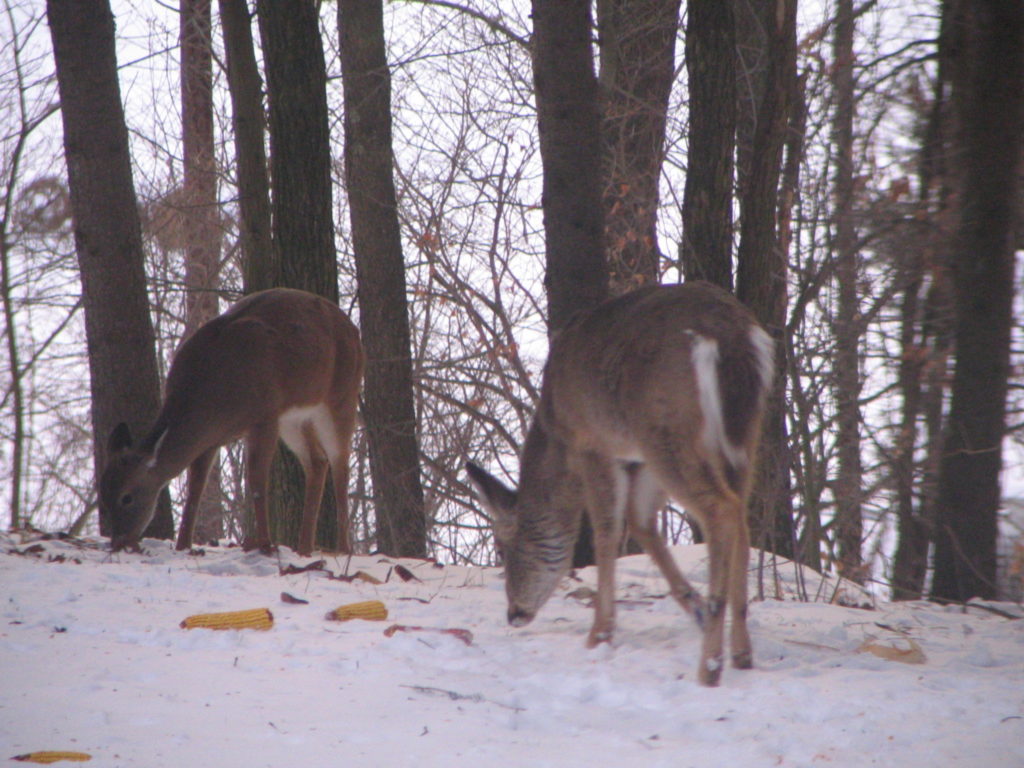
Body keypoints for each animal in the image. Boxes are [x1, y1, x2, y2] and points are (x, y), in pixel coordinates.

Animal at [99, 288, 364, 561]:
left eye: (126, 498)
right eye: (102, 497)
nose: (118, 542)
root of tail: (353, 329)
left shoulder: (265, 414)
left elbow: (257, 481)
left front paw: (265, 545)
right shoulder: (212, 439)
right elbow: (196, 489)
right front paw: (184, 545)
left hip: (341, 396)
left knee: (340, 463)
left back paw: (343, 549)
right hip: (294, 418)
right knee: (317, 460)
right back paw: (304, 549)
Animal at [468, 280, 770, 684]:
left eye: (502, 549)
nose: (514, 613)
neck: (555, 431)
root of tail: (729, 335)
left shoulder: (593, 441)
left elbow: (607, 529)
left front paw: (600, 633)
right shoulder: (635, 457)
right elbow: (640, 522)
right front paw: (693, 606)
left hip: (666, 427)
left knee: (720, 509)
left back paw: (710, 665)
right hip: (742, 432)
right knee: (740, 514)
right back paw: (740, 650)